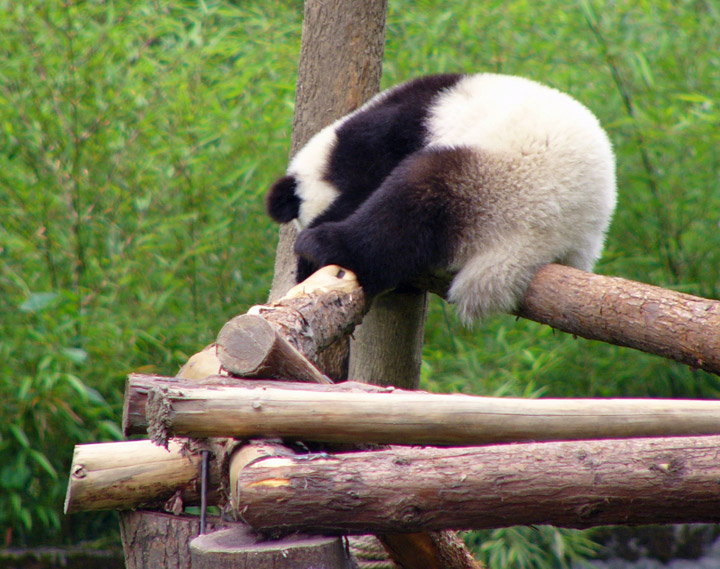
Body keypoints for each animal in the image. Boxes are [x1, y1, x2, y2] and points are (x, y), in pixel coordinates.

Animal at [268, 72, 616, 322]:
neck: (332, 156)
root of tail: (551, 240)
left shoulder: (387, 139)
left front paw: (309, 257)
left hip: (501, 180)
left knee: (412, 203)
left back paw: (326, 245)